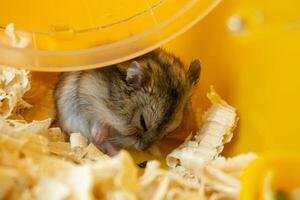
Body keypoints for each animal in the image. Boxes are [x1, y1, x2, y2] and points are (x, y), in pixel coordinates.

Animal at [55, 49, 200, 155]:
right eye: (142, 121)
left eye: (169, 130)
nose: (142, 149)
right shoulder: (85, 91)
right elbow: (97, 119)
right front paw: (99, 135)